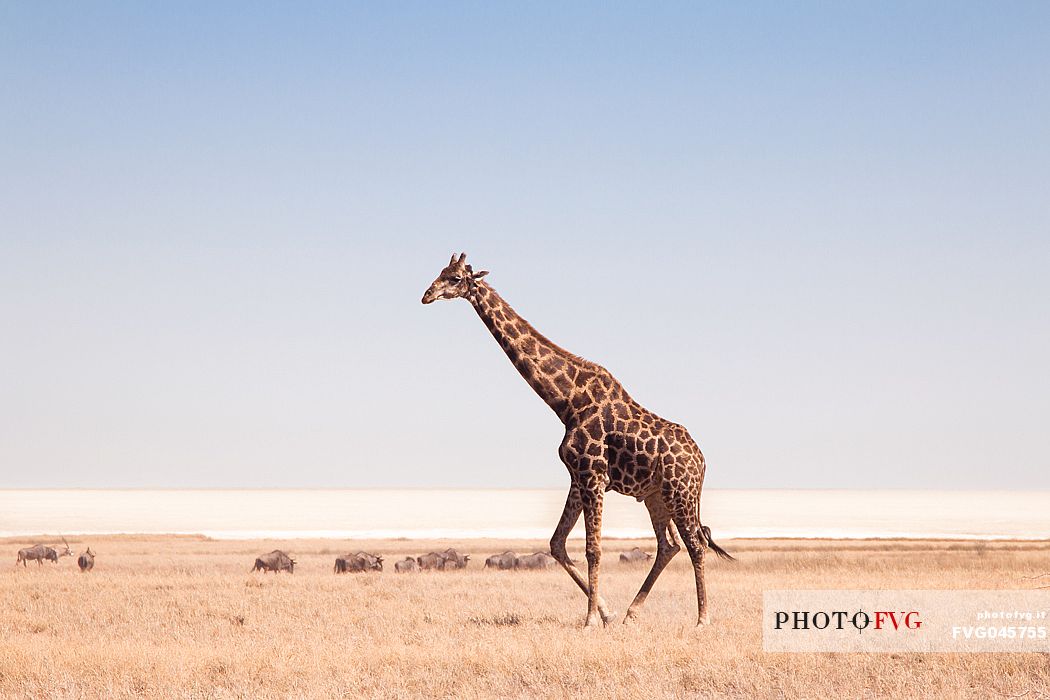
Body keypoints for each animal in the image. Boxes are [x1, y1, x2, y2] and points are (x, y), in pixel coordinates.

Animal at [419, 255, 730, 625]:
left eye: (454, 278)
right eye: (439, 273)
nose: (426, 295)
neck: (566, 401)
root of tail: (701, 460)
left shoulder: (593, 475)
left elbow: (592, 549)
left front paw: (591, 619)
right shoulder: (577, 477)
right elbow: (557, 543)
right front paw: (606, 613)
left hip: (680, 492)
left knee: (695, 543)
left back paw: (702, 619)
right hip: (656, 495)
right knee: (669, 545)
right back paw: (631, 613)